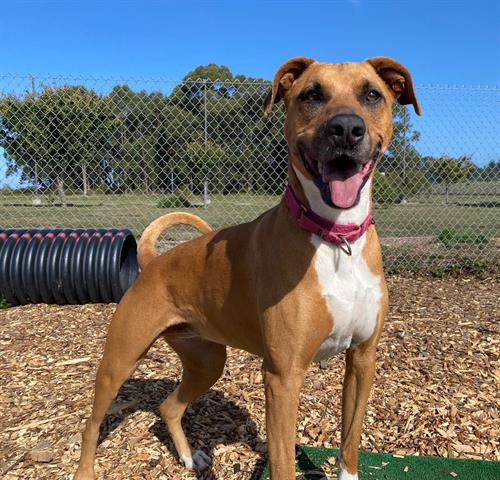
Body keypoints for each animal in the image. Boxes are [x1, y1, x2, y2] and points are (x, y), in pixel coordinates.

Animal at [74, 57, 420, 480]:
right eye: (312, 94)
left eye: (372, 94)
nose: (346, 128)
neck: (336, 237)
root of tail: (152, 261)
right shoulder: (283, 378)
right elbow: (283, 462)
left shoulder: (363, 361)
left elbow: (349, 446)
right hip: (120, 360)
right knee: (92, 424)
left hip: (207, 361)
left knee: (168, 407)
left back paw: (189, 458)